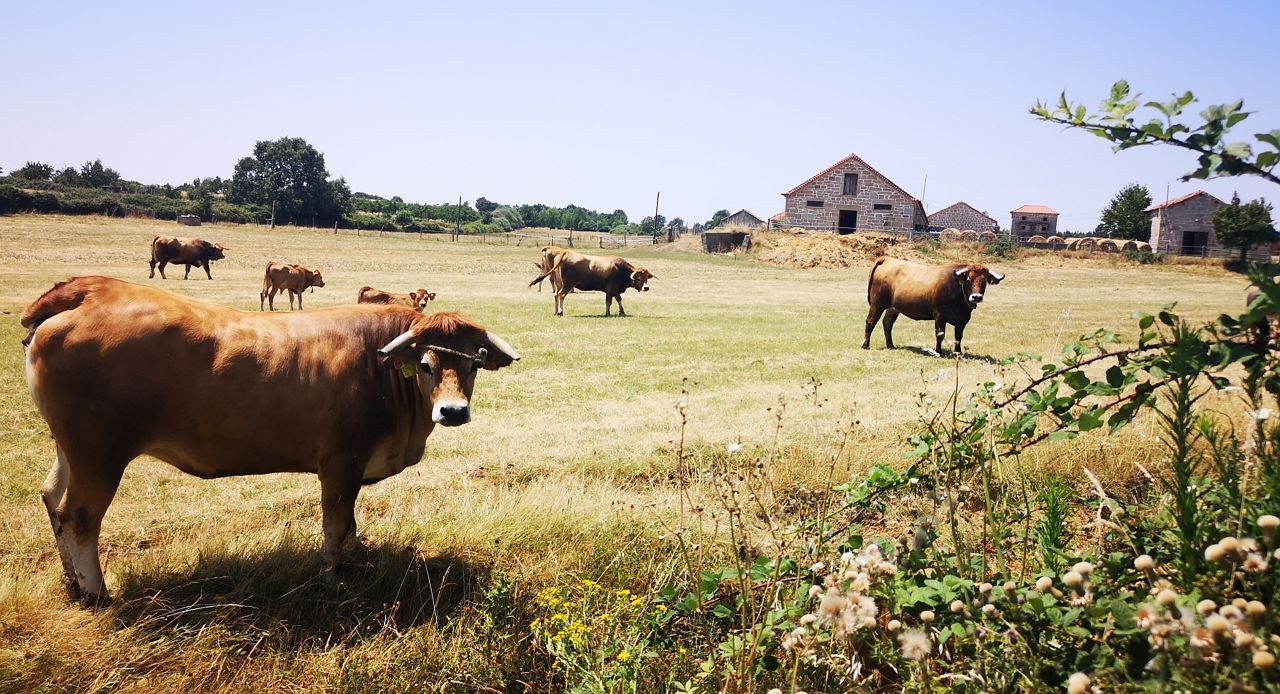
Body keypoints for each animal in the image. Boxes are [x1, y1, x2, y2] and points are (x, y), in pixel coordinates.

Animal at [21, 276, 519, 604]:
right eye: (428, 364)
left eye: (474, 362)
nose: (453, 411)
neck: (383, 370)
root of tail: (93, 290)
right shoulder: (340, 463)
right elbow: (336, 524)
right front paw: (332, 577)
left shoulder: (353, 470)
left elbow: (352, 523)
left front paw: (358, 559)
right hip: (99, 454)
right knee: (79, 517)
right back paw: (97, 594)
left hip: (70, 451)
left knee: (52, 500)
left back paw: (72, 584)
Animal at [524, 250, 655, 318]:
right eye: (639, 278)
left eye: (646, 278)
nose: (646, 287)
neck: (622, 269)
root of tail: (565, 252)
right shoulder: (611, 289)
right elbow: (609, 302)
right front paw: (607, 313)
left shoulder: (614, 290)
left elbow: (619, 299)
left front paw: (622, 312)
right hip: (567, 284)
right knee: (561, 295)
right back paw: (561, 312)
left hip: (559, 283)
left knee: (556, 295)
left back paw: (556, 312)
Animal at [865, 256, 1003, 355]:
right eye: (968, 279)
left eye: (985, 281)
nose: (976, 297)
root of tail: (887, 259)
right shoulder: (939, 315)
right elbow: (940, 334)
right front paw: (938, 352)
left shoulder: (962, 320)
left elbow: (958, 337)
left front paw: (958, 352)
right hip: (877, 304)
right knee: (870, 322)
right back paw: (866, 345)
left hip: (893, 308)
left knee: (887, 323)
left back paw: (890, 345)